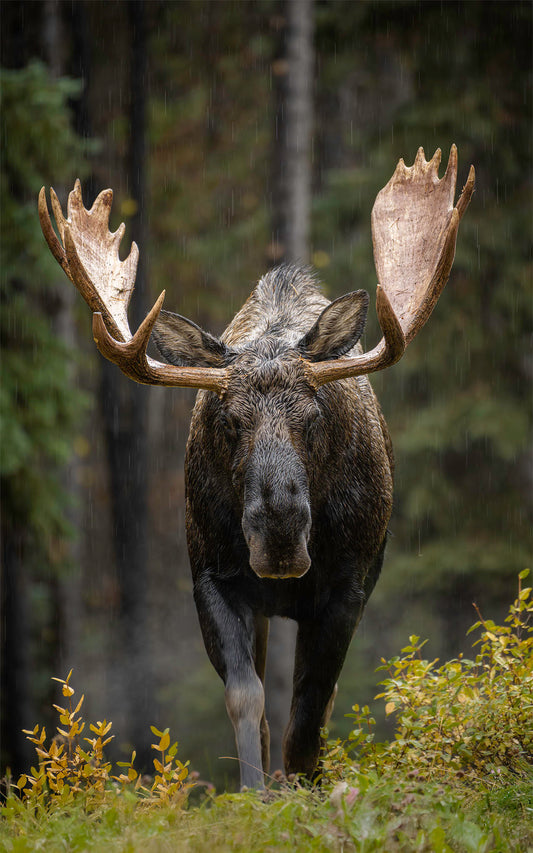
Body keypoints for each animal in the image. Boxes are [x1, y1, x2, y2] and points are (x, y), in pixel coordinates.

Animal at [39, 146, 474, 790]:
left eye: (313, 417)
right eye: (228, 422)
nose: (280, 529)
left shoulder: (348, 584)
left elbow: (311, 705)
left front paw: (305, 786)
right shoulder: (211, 576)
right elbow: (247, 698)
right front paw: (255, 791)